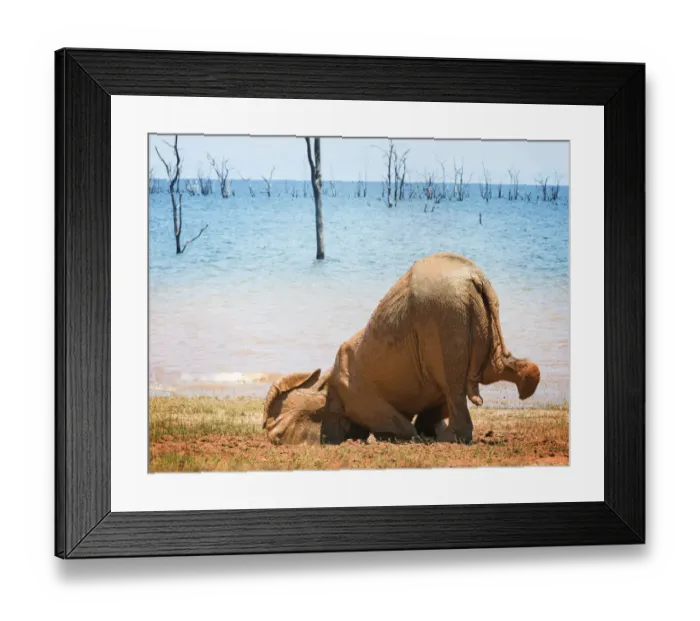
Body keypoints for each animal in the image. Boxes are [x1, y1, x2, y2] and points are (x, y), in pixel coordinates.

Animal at [263, 252, 540, 445]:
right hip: (474, 316)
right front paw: (425, 432)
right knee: (489, 369)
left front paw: (410, 436)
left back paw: (449, 439)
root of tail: (476, 277)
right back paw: (528, 382)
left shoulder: (358, 396)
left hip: (443, 319)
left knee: (453, 384)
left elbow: (399, 423)